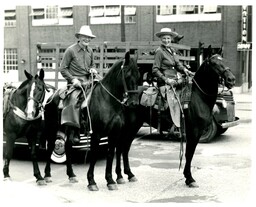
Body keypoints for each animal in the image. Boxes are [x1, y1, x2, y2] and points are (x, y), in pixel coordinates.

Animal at [41, 51, 140, 188]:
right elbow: (94, 155)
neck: (107, 100)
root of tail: (51, 97)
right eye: (128, 75)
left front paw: (110, 180)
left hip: (68, 129)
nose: (134, 103)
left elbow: (111, 154)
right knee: (51, 147)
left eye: (139, 75)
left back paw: (71, 175)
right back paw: (47, 175)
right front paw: (91, 181)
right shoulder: (96, 134)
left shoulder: (114, 134)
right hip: (52, 128)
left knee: (68, 146)